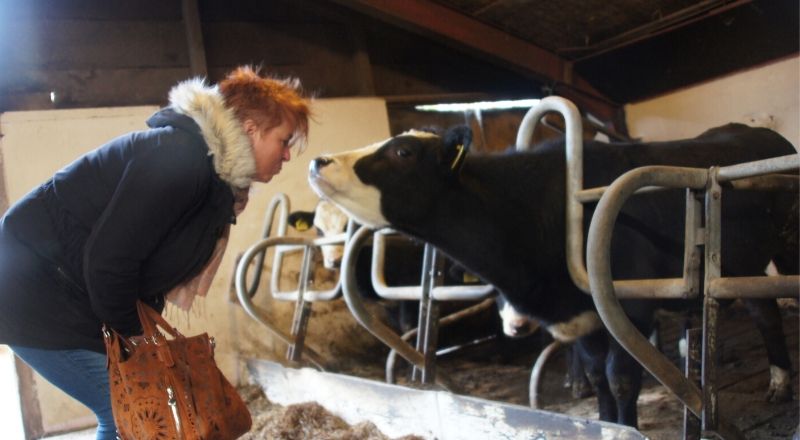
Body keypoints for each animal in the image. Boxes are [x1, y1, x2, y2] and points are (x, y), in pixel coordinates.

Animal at [307, 123, 797, 428]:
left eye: (403, 152)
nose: (317, 161)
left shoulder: (629, 306)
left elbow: (621, 378)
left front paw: (628, 427)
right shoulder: (584, 319)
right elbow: (598, 379)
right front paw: (607, 424)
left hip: (787, 248)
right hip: (743, 260)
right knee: (764, 309)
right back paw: (773, 380)